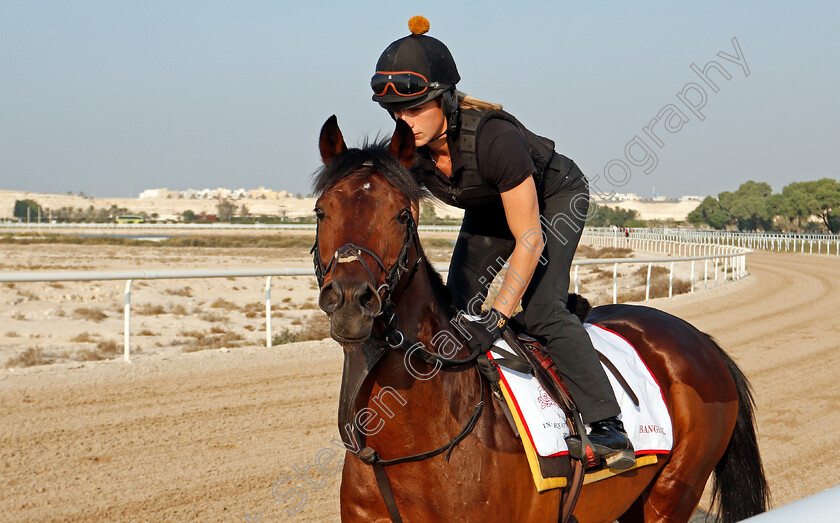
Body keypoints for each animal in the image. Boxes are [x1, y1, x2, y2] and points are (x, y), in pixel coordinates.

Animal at [312, 115, 772, 523]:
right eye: (320, 211)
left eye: (402, 215)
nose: (351, 299)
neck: (406, 447)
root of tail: (703, 341)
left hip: (673, 492)